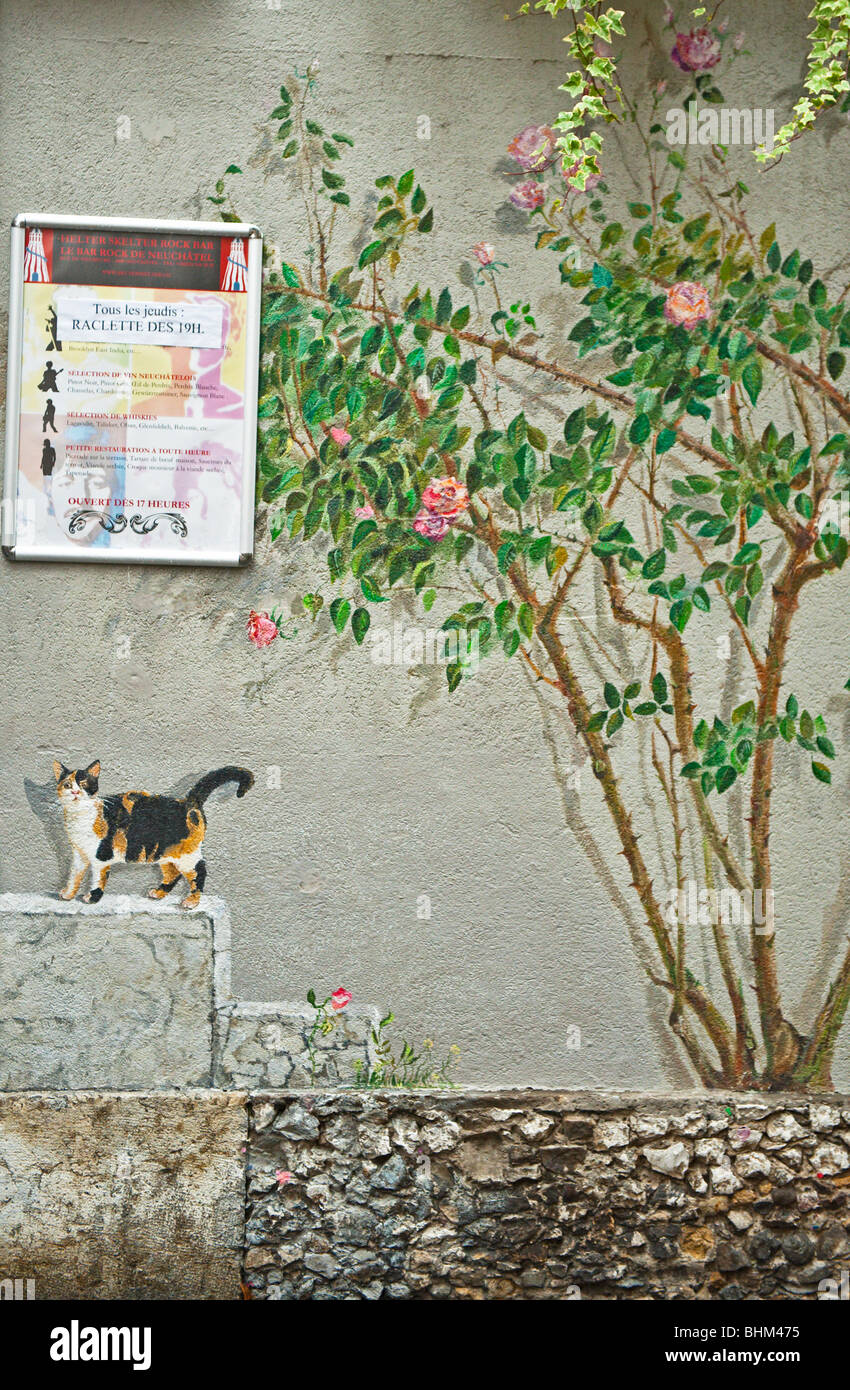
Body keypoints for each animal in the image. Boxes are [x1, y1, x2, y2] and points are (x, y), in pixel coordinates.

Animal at [51, 761, 252, 911]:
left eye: (84, 784)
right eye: (67, 785)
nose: (75, 792)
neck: (80, 817)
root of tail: (189, 802)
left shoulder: (101, 856)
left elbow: (97, 879)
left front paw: (92, 898)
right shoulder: (79, 855)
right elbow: (74, 875)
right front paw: (68, 894)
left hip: (187, 854)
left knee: (199, 872)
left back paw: (192, 901)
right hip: (165, 853)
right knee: (173, 874)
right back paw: (159, 892)